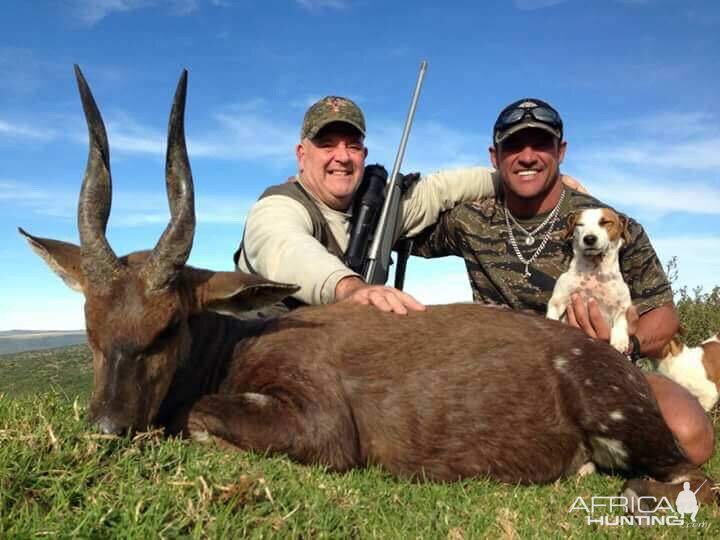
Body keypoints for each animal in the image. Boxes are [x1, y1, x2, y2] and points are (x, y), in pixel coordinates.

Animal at [548, 208, 632, 354]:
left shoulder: (624, 304)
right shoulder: (558, 300)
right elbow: (552, 314)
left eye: (605, 222)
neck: (594, 272)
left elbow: (621, 319)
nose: (589, 239)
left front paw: (620, 340)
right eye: (579, 224)